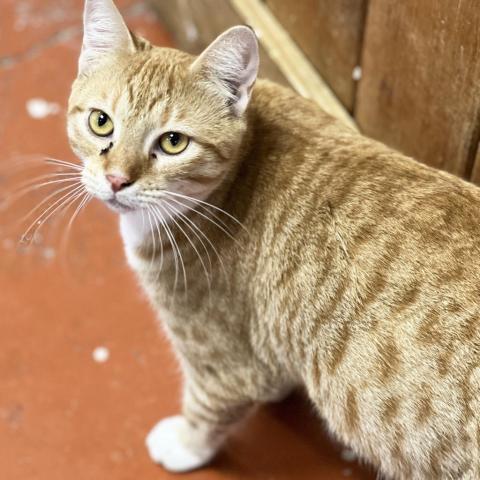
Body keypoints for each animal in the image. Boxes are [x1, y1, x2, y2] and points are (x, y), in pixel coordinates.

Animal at [66, 0, 480, 476]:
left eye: (172, 142)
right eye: (101, 122)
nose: (116, 180)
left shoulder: (225, 366)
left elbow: (204, 411)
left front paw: (183, 446)